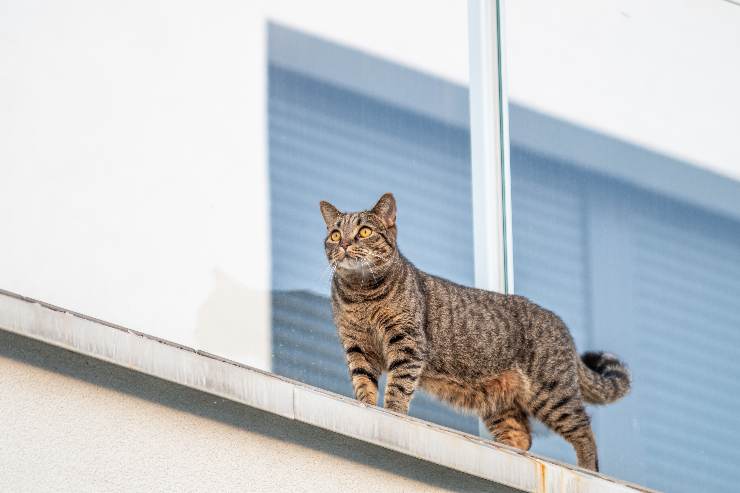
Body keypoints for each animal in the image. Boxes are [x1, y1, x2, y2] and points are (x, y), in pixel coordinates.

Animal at [318, 191, 632, 468]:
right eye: (334, 235)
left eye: (364, 232)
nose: (343, 244)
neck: (361, 294)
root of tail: (561, 325)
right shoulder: (357, 346)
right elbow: (363, 382)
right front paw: (365, 408)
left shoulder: (406, 342)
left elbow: (398, 387)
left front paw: (391, 415)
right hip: (500, 404)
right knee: (521, 437)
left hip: (553, 393)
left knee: (584, 432)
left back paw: (587, 468)